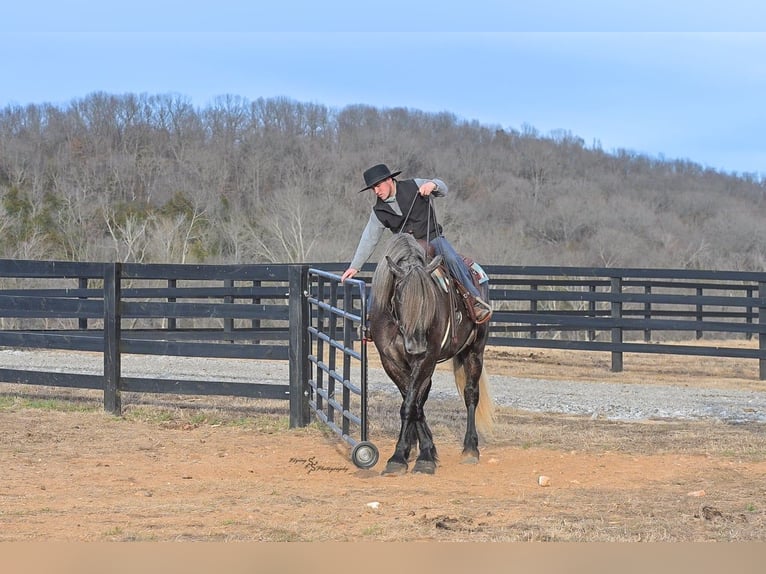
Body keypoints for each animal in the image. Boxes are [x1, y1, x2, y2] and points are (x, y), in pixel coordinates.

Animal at [369, 233, 494, 475]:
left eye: (430, 302)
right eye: (400, 297)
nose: (416, 346)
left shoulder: (425, 359)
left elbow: (410, 404)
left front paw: (406, 457)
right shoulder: (391, 361)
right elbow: (413, 402)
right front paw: (418, 451)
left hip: (475, 351)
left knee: (471, 394)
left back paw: (470, 449)